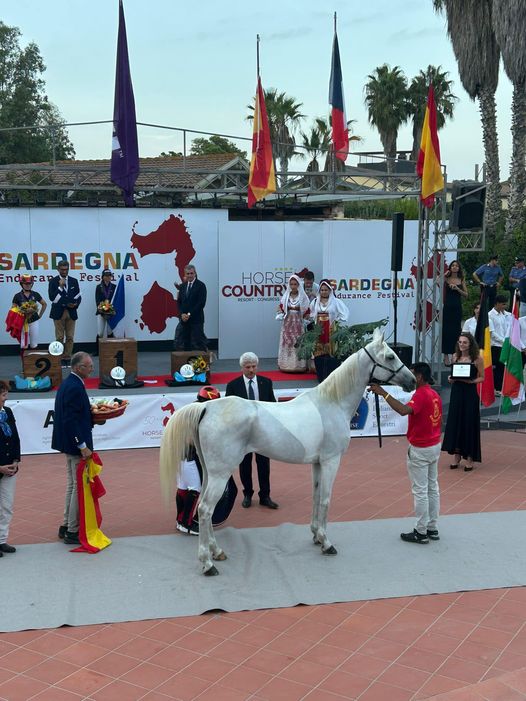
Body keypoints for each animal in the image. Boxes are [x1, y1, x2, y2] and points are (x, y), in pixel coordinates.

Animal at [161, 328, 416, 576]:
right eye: (390, 356)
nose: (412, 381)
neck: (332, 403)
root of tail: (206, 406)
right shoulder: (331, 461)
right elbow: (325, 499)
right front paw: (327, 543)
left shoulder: (317, 463)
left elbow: (315, 496)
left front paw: (316, 535)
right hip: (220, 474)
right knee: (205, 509)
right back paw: (207, 564)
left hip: (208, 472)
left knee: (204, 507)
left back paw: (217, 552)